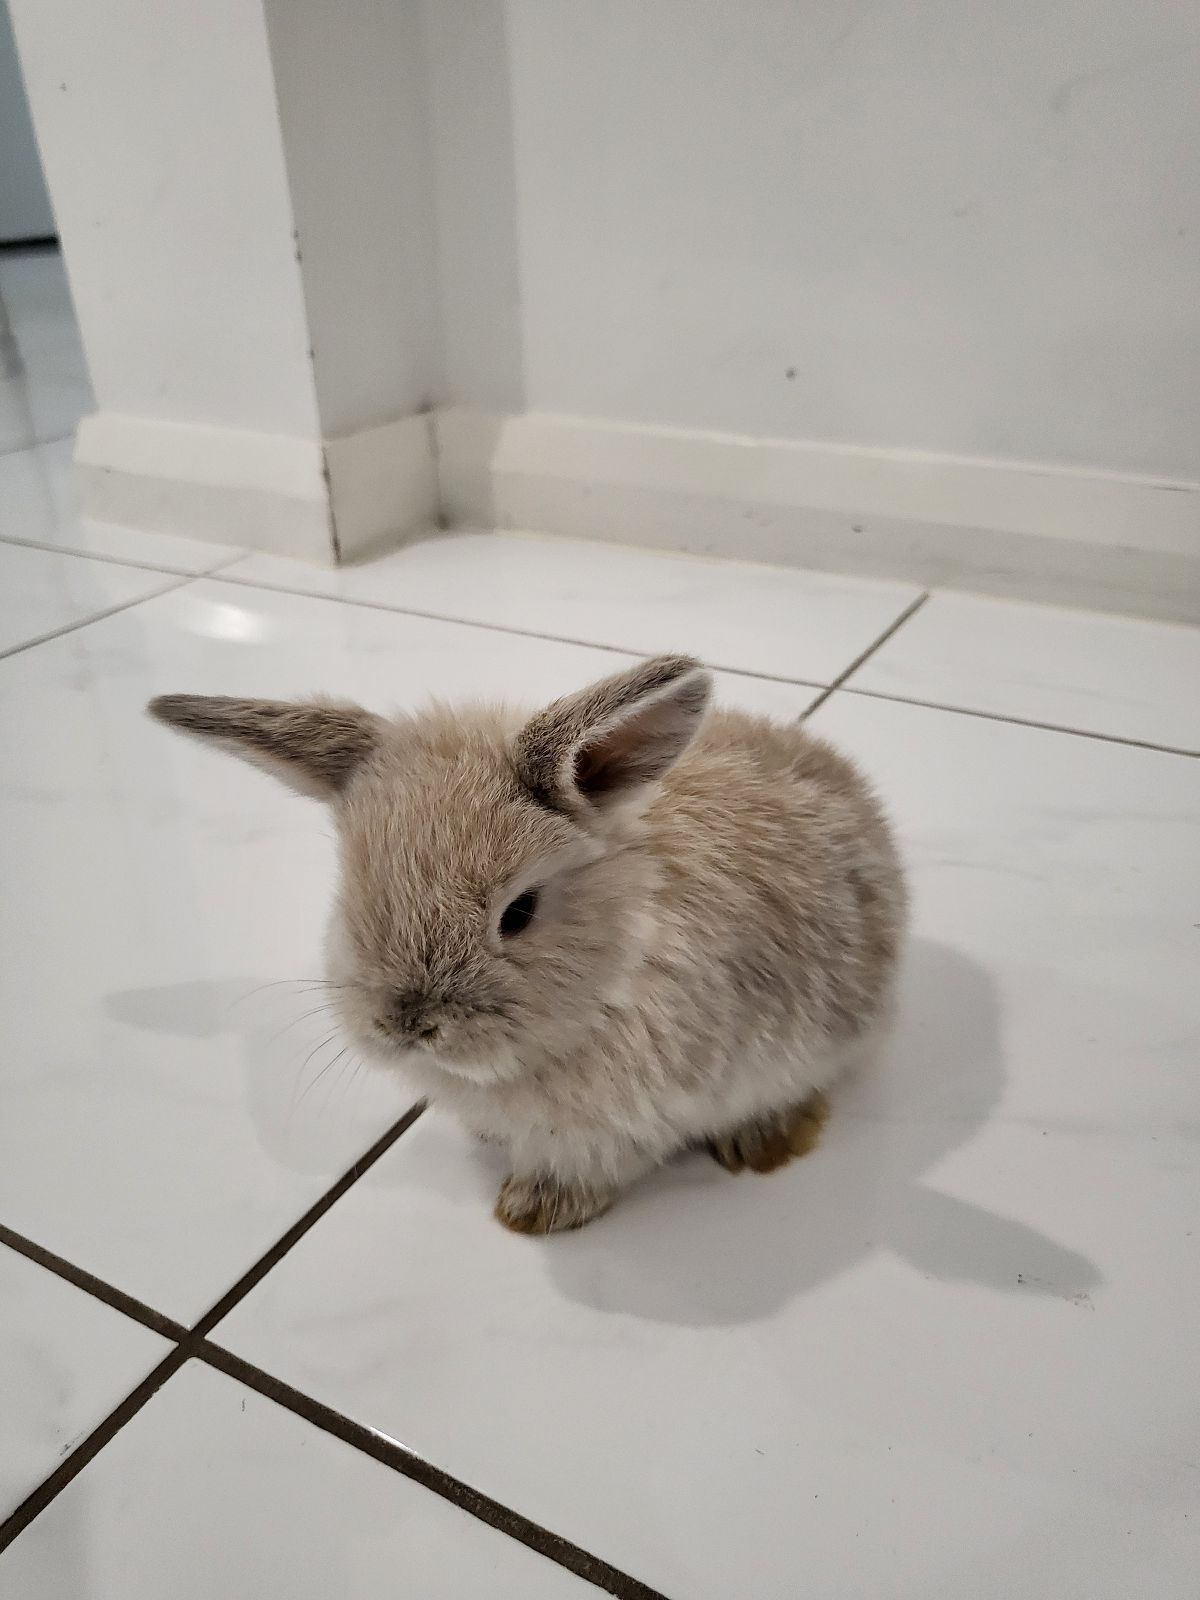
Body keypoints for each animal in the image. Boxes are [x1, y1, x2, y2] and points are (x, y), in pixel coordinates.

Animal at [149, 653, 907, 1234]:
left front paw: (531, 1215)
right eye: (352, 890)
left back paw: (764, 1144)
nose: (407, 1024)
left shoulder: (618, 1126)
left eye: (518, 912)